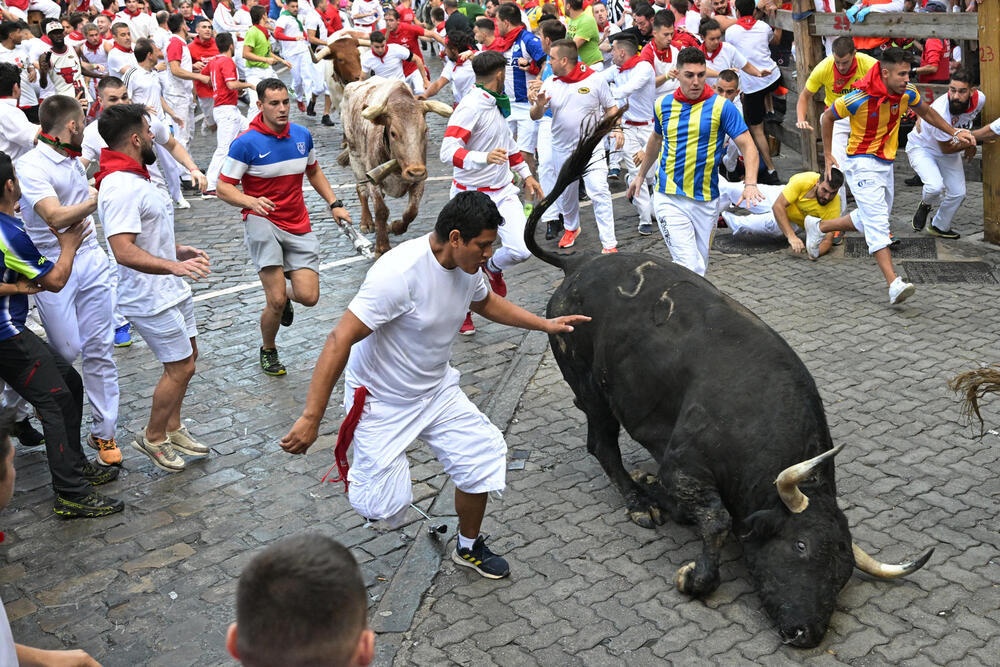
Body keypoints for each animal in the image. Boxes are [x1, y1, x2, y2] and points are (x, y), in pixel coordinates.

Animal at [344, 78, 454, 254]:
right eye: (393, 133)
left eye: (425, 130)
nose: (416, 172)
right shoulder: (373, 179)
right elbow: (381, 210)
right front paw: (382, 246)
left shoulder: (419, 181)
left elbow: (411, 212)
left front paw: (395, 227)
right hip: (355, 157)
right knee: (361, 190)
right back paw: (367, 222)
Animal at [528, 109, 932, 648]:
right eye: (801, 547)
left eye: (843, 572)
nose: (806, 632)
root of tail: (581, 264)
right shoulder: (684, 467)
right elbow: (716, 519)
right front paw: (693, 576)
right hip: (590, 390)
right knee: (601, 444)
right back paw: (636, 502)